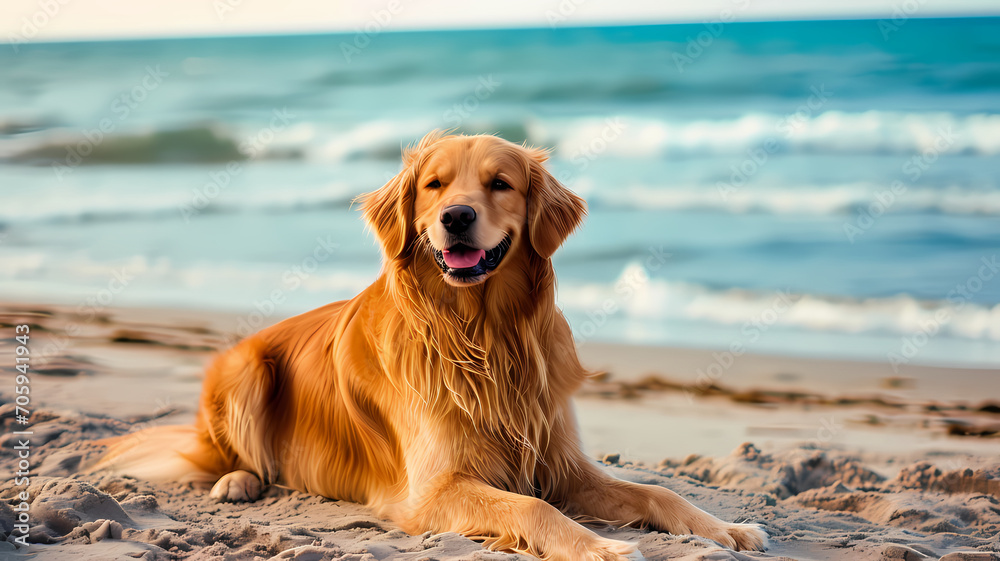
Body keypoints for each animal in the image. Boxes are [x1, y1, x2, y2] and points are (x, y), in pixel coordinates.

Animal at [97, 132, 768, 560]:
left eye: (500, 184)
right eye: (434, 185)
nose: (457, 217)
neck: (483, 334)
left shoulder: (558, 460)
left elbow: (657, 490)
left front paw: (726, 529)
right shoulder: (434, 490)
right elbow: (531, 510)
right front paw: (601, 547)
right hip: (243, 368)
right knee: (225, 455)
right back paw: (238, 482)